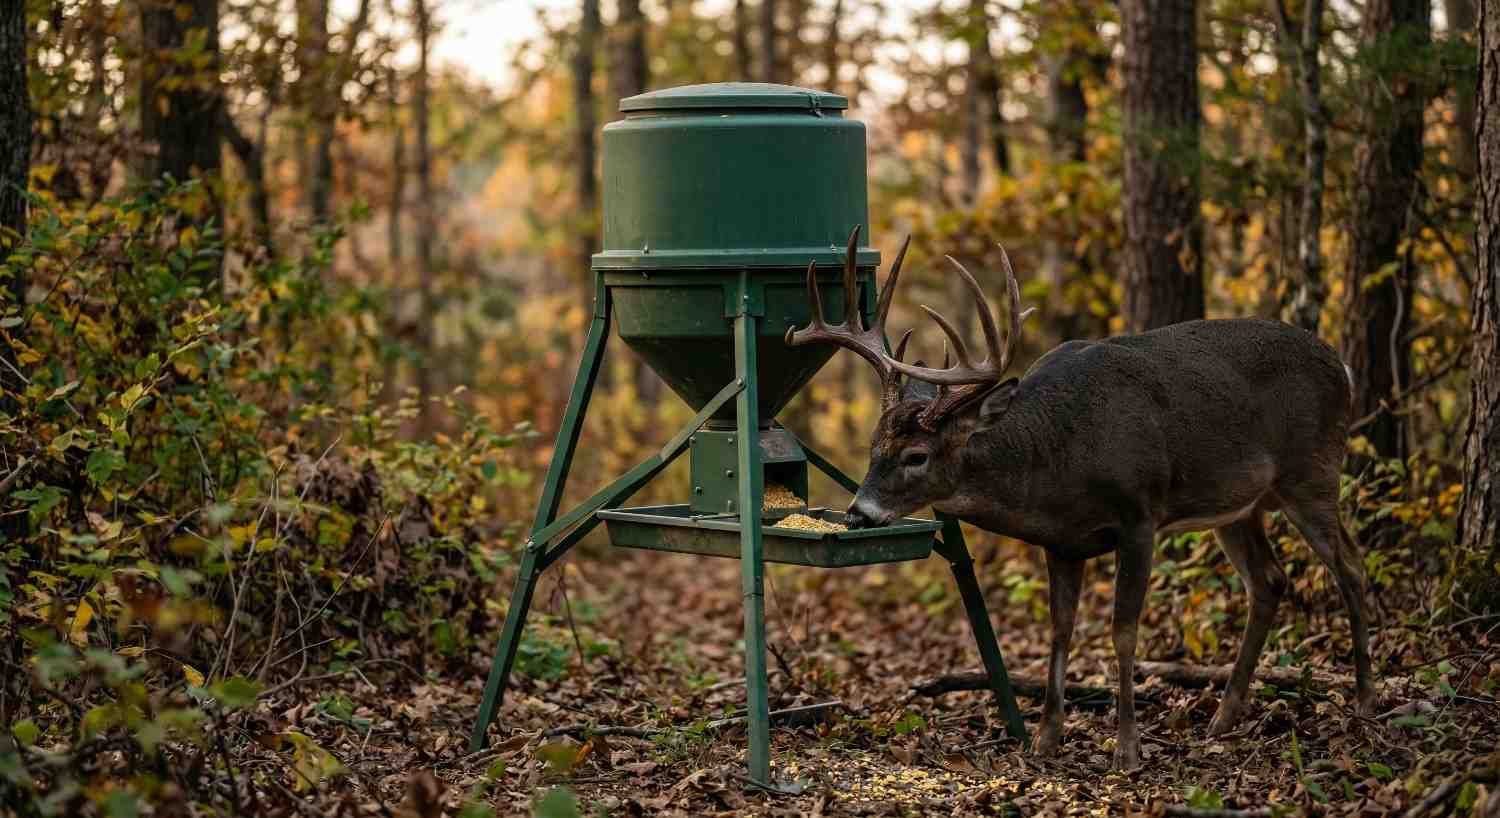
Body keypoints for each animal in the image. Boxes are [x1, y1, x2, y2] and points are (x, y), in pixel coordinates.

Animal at [786, 228, 1375, 770]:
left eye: (917, 456)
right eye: (874, 446)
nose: (859, 514)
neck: (1059, 458)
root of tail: (1344, 367)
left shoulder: (1140, 515)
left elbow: (1122, 631)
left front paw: (1127, 749)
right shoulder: (1063, 544)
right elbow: (1060, 630)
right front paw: (1046, 740)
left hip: (1313, 472)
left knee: (1350, 565)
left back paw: (1365, 702)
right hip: (1239, 505)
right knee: (1269, 581)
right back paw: (1223, 718)